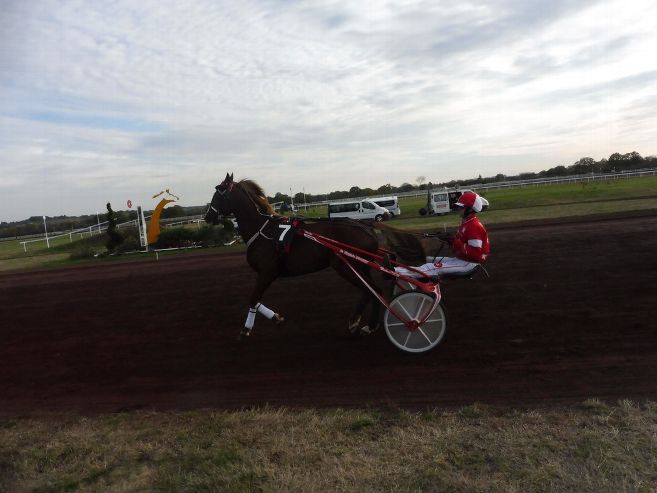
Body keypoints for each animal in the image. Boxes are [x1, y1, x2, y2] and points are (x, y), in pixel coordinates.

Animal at [204, 173, 380, 338]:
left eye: (218, 194)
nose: (207, 216)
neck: (262, 230)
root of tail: (366, 228)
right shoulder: (265, 274)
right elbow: (256, 299)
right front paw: (275, 317)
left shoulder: (267, 272)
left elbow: (253, 299)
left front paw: (246, 329)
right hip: (361, 267)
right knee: (374, 290)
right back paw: (367, 325)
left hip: (345, 266)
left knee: (369, 290)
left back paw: (359, 322)